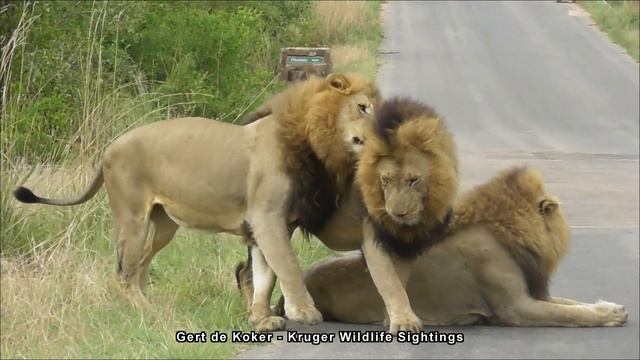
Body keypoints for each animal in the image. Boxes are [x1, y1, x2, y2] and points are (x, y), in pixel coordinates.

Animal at [12, 72, 380, 332]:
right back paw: (147, 312)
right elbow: (288, 267)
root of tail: (108, 149)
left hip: (163, 225)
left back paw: (152, 306)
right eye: (362, 107)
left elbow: (264, 276)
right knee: (123, 272)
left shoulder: (271, 225)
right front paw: (303, 311)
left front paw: (261, 320)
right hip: (132, 218)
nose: (381, 131)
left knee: (141, 266)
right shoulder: (267, 218)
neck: (316, 144)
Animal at [236, 167, 632, 328]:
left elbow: (573, 303)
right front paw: (609, 317)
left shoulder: (534, 293)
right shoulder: (515, 308)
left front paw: (611, 306)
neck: (510, 233)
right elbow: (570, 314)